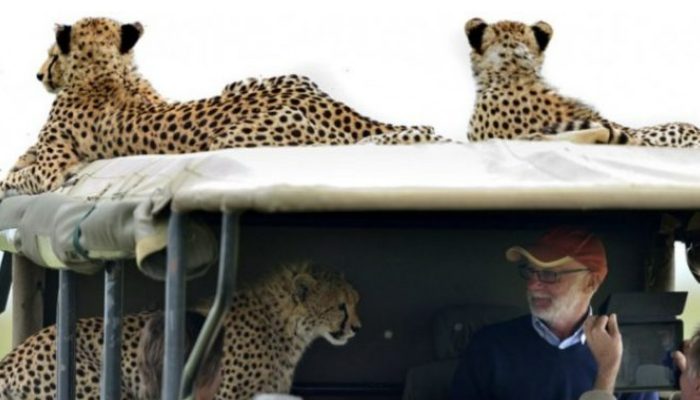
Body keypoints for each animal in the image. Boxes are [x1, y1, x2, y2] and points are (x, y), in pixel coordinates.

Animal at [0, 17, 436, 196]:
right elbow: (26, 159)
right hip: (254, 81)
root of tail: (320, 100)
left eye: (51, 54)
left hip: (237, 137)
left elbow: (23, 175)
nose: (39, 75)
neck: (106, 71)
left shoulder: (53, 171)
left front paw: (9, 177)